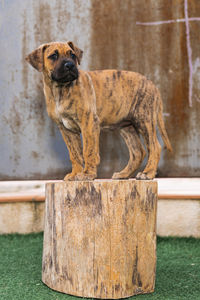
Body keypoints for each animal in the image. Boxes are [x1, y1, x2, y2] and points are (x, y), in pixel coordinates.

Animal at [26, 40, 172, 179]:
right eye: (53, 56)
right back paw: (123, 174)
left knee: (155, 147)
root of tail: (152, 84)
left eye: (72, 55)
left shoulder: (89, 123)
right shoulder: (66, 129)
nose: (70, 65)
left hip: (144, 120)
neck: (60, 89)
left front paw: (87, 174)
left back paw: (148, 173)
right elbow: (75, 154)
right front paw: (75, 174)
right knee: (138, 152)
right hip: (127, 127)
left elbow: (88, 150)